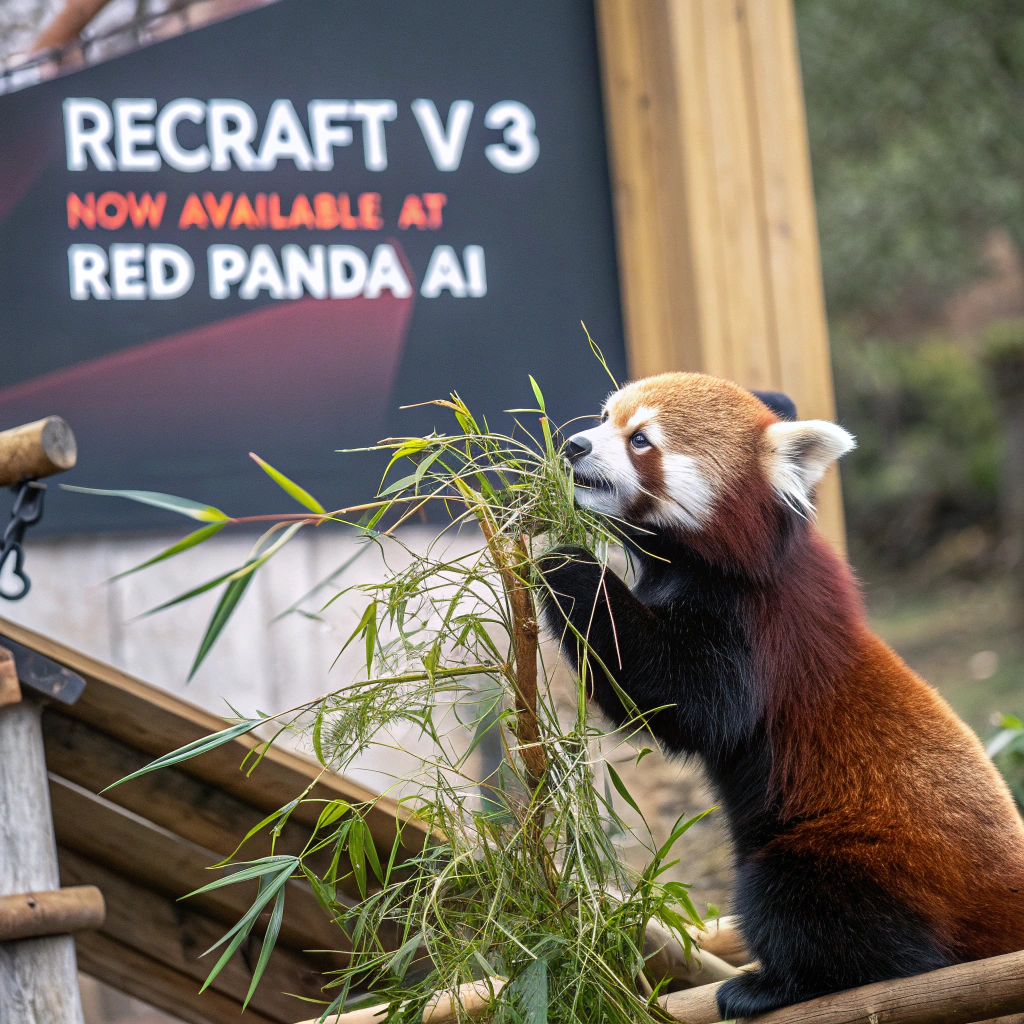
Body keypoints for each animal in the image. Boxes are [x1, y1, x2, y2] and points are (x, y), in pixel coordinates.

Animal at [537, 371, 1024, 1019]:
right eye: (605, 417)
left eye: (640, 439)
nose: (574, 446)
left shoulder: (760, 631)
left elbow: (687, 703)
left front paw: (567, 565)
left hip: (855, 858)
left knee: (804, 908)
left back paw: (778, 985)